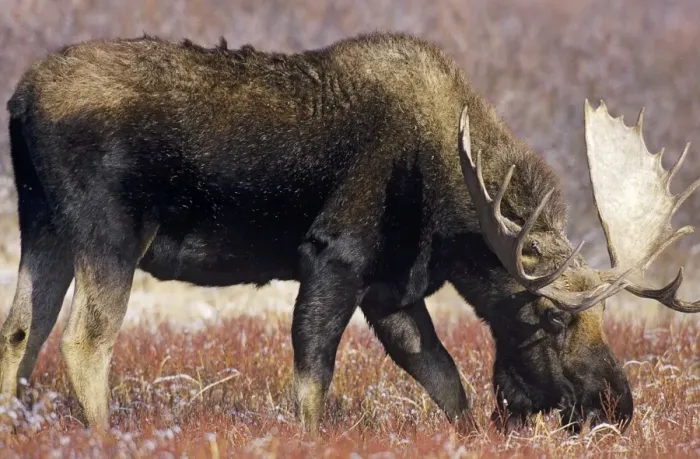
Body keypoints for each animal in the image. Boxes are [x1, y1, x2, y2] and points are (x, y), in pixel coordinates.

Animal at [0, 32, 698, 435]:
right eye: (551, 316)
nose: (617, 406)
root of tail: (19, 99)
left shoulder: (389, 289)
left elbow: (447, 382)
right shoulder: (336, 257)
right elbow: (313, 379)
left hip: (43, 224)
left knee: (19, 332)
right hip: (108, 232)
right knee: (83, 342)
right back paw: (104, 437)